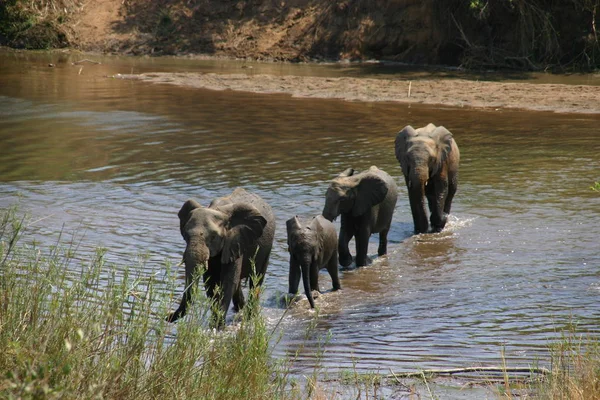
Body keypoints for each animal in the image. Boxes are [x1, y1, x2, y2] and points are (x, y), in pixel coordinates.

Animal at [165, 188, 276, 324]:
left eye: (213, 237)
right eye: (185, 235)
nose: (167, 316)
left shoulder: (235, 240)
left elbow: (228, 282)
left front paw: (217, 325)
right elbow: (211, 283)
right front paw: (215, 322)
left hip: (267, 248)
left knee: (256, 280)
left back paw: (250, 317)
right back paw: (239, 310)